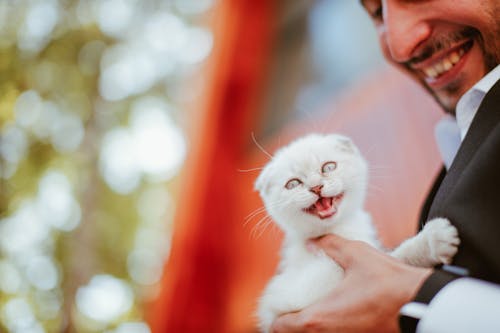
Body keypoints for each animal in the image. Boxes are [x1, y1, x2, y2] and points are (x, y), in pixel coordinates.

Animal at [256, 133, 458, 332]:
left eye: (328, 166)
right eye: (292, 184)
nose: (316, 187)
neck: (337, 229)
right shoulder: (299, 293)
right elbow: (396, 257)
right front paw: (432, 240)